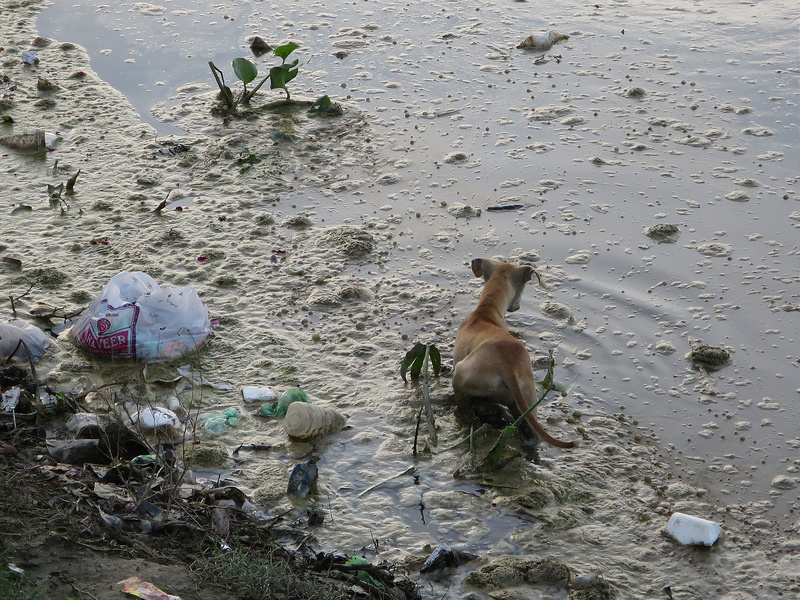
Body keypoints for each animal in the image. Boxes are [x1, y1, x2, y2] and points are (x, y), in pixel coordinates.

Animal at [450, 258, 576, 450]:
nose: (517, 306)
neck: (486, 310)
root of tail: (507, 368)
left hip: (462, 374)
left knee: (467, 407)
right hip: (528, 400)